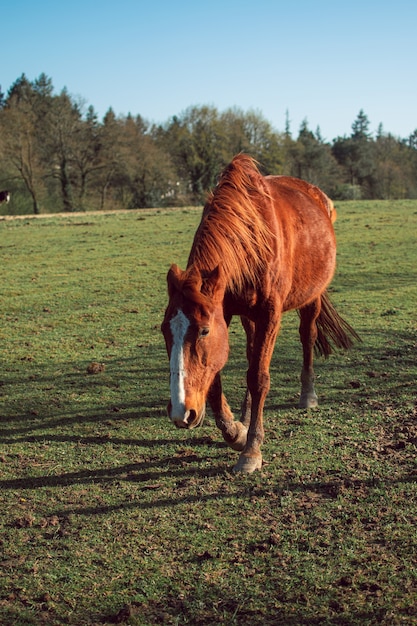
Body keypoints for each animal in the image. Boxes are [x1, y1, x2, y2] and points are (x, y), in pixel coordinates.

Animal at [160, 154, 358, 470]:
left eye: (203, 331)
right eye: (165, 330)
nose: (181, 412)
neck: (250, 238)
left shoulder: (269, 315)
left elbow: (259, 377)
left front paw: (251, 450)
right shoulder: (226, 311)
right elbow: (218, 377)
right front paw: (235, 431)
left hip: (311, 298)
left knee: (307, 336)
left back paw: (308, 395)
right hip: (248, 316)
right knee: (253, 352)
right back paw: (244, 413)